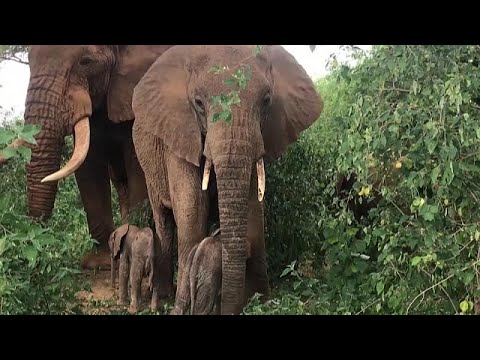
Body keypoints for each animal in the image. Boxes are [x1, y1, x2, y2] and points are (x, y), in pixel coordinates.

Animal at [131, 45, 322, 316]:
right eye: (198, 103)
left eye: (266, 101)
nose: (228, 306)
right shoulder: (178, 131)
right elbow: (192, 206)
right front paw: (181, 308)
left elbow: (253, 206)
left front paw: (261, 299)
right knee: (164, 220)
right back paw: (164, 293)